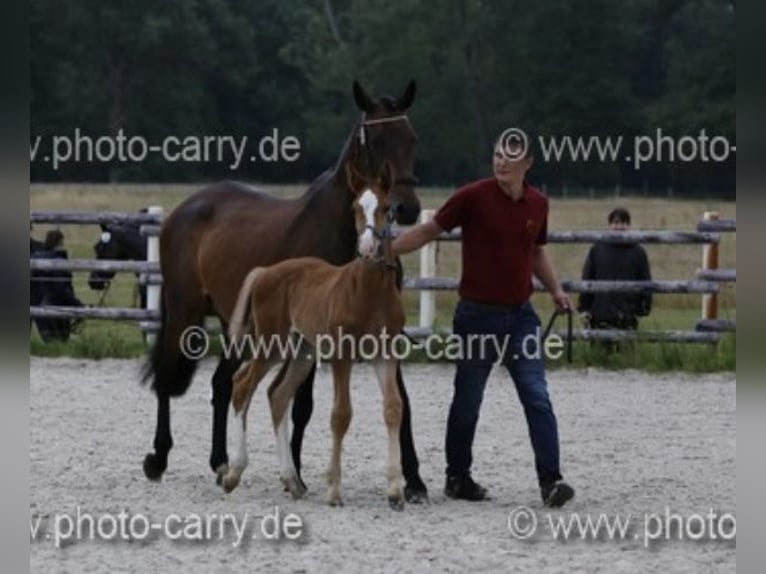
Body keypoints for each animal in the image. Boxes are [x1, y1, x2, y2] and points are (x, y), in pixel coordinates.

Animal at [222, 162, 408, 508]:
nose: (367, 248)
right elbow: (341, 414)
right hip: (272, 343)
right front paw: (334, 489)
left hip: (302, 350)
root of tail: (265, 272)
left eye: (387, 208)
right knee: (243, 385)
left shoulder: (385, 353)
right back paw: (233, 473)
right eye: (355, 207)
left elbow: (393, 408)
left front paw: (395, 490)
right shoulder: (342, 354)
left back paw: (292, 480)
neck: (370, 291)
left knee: (278, 395)